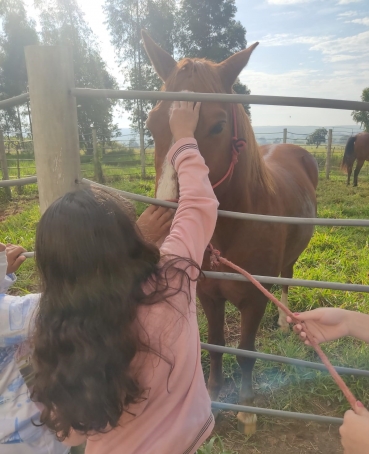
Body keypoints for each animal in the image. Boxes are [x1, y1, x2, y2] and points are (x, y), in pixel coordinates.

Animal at [142, 30, 318, 434]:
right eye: (151, 123)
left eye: (218, 126)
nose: (165, 220)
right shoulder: (208, 294)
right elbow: (218, 342)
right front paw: (214, 393)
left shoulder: (252, 301)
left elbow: (246, 351)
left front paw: (247, 408)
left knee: (286, 276)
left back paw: (284, 320)